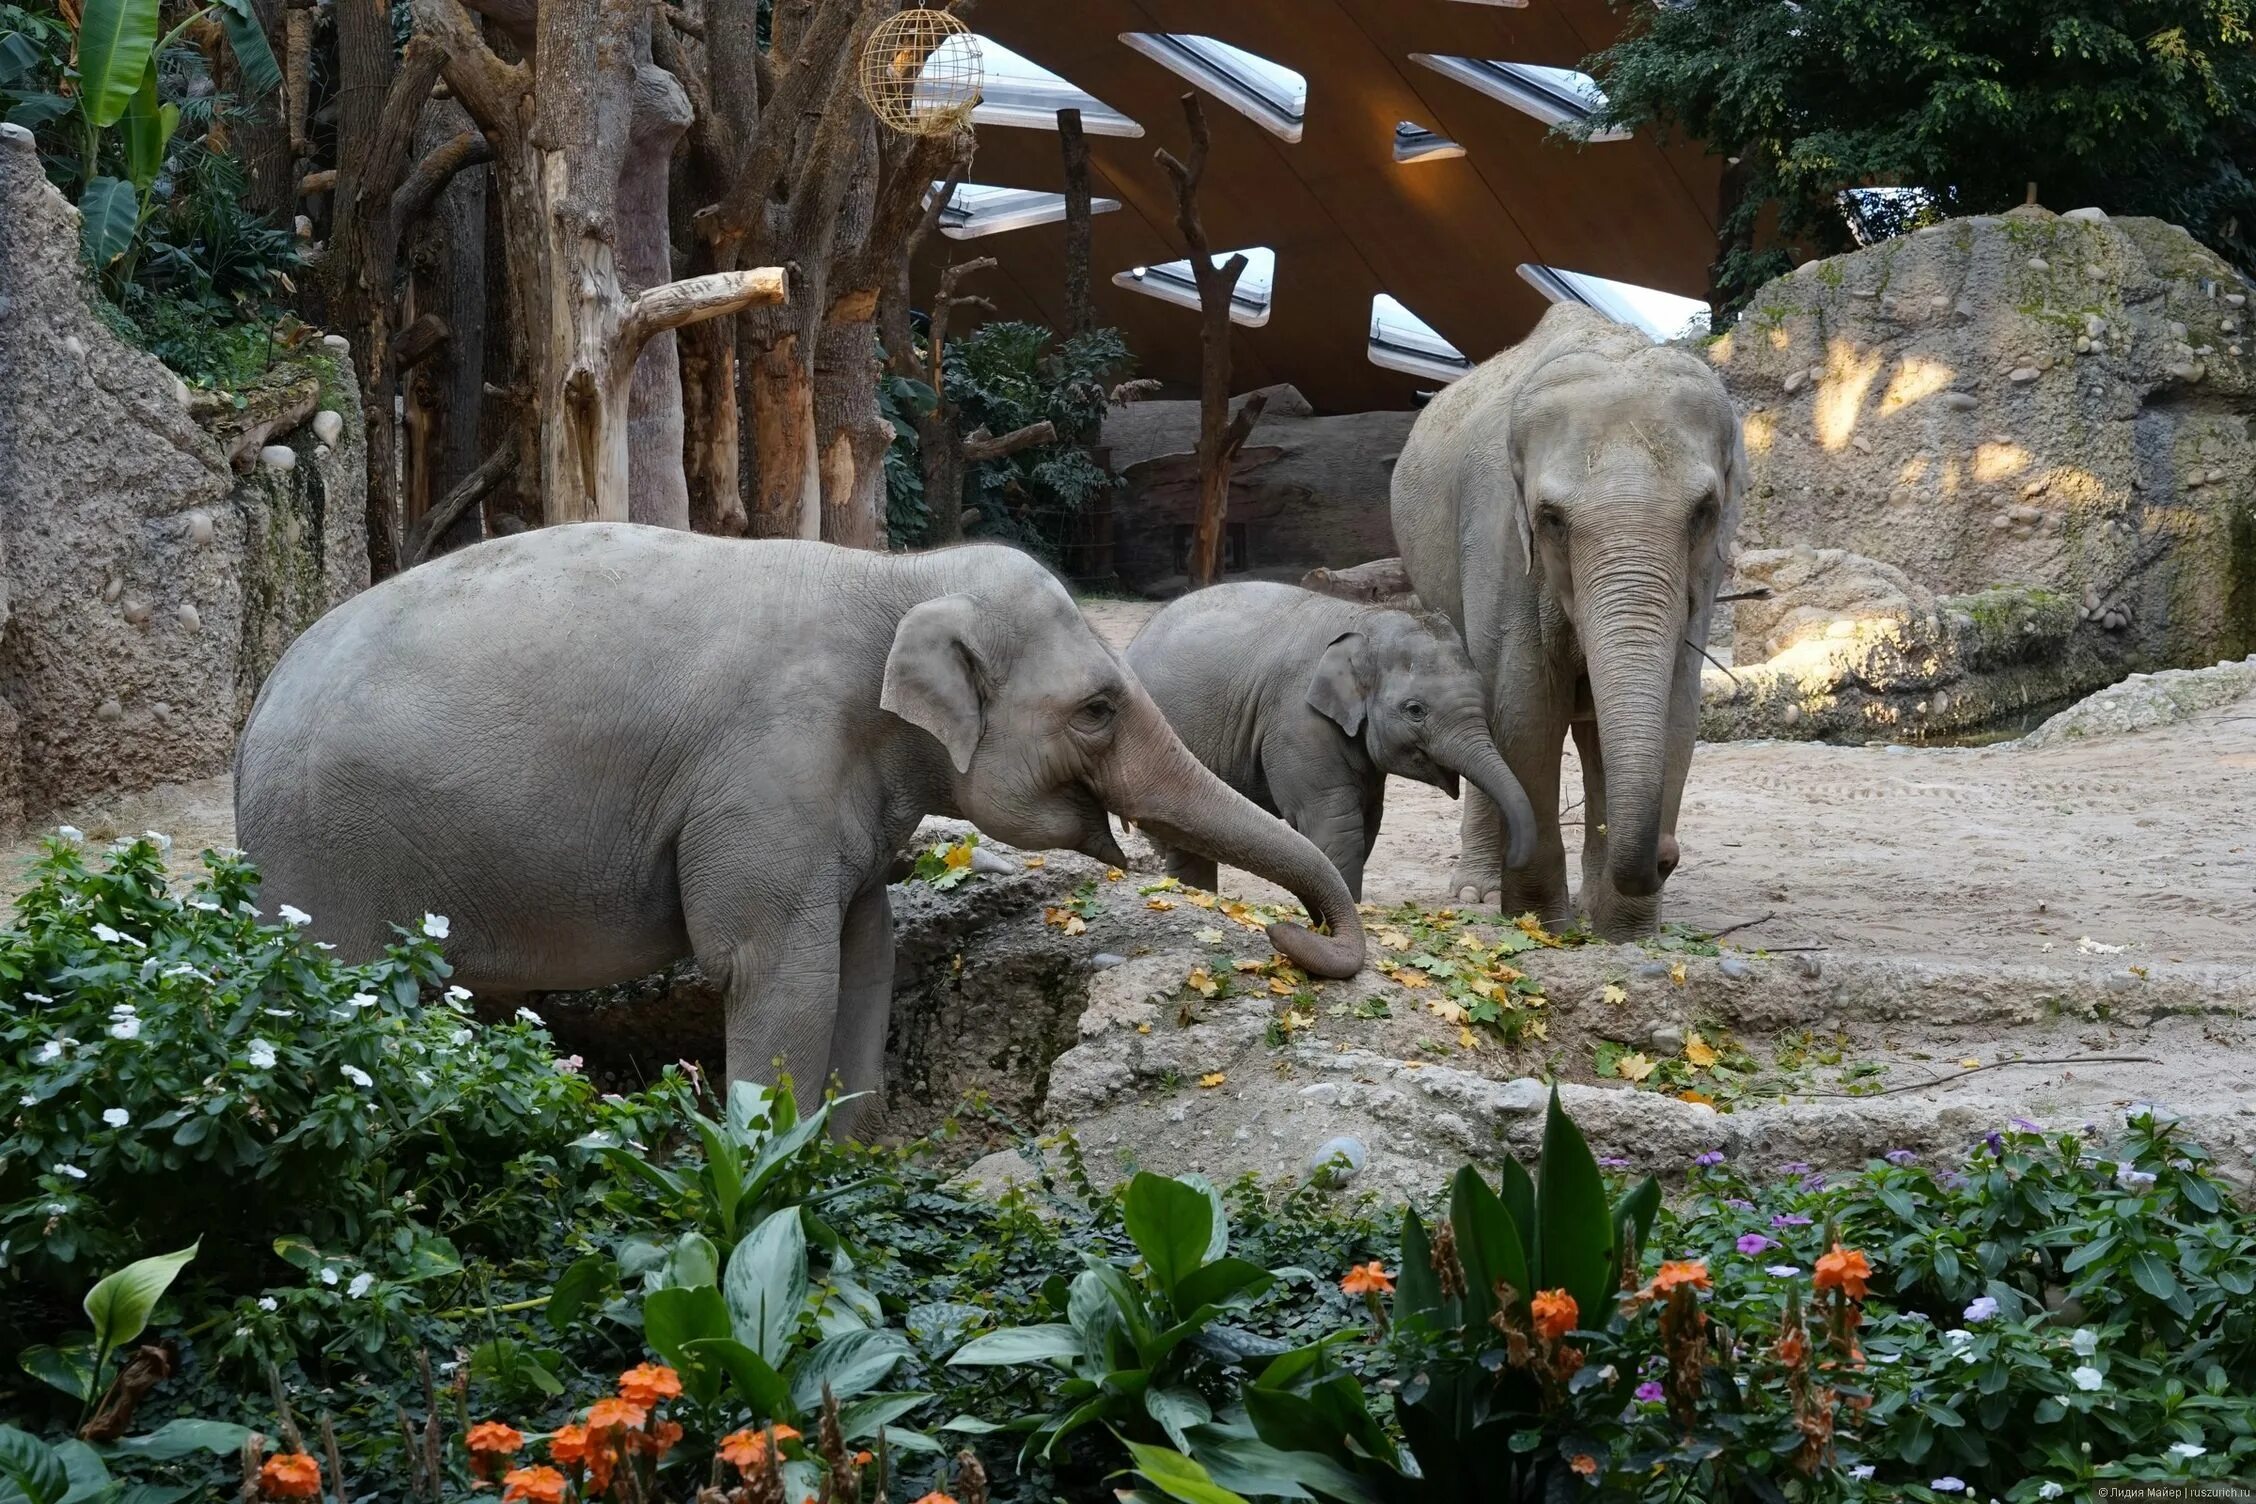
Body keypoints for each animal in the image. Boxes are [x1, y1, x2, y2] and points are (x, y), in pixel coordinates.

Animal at [233, 529, 1353, 1127]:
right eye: (1098, 709)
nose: (1289, 934)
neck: (897, 576)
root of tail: (257, 706)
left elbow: (867, 952)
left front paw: (854, 1155)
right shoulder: (771, 770)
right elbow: (777, 969)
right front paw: (775, 1171)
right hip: (326, 853)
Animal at [1123, 581, 1543, 901]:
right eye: (1415, 710)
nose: (1514, 859)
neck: (1363, 617)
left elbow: (1369, 818)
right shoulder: (1296, 720)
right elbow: (1334, 823)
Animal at [1389, 306, 1741, 942]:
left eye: (1704, 512)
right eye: (1551, 519)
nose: (1668, 854)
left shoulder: (1702, 577)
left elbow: (1677, 710)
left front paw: (1624, 934)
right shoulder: (1498, 533)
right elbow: (1525, 706)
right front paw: (1541, 924)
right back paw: (1477, 893)